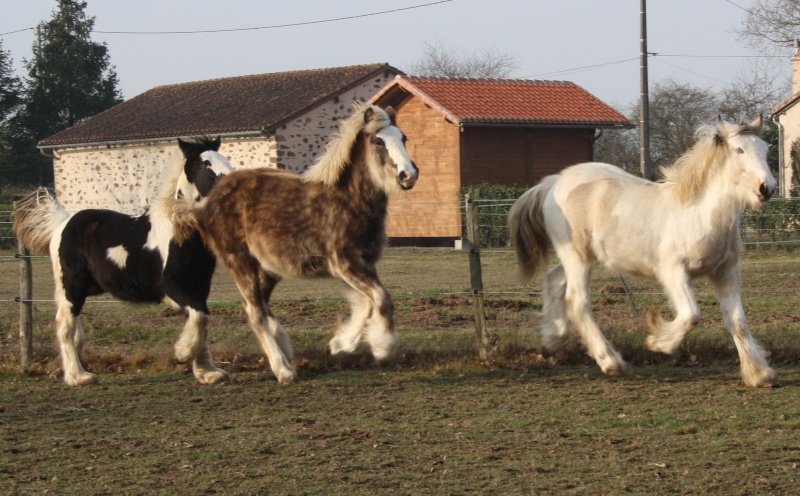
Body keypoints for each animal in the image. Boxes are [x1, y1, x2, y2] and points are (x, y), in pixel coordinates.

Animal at [14, 137, 233, 388]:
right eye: (205, 163)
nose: (233, 184)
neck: (180, 232)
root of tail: (62, 224)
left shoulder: (198, 287)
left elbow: (201, 321)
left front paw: (208, 372)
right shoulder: (173, 288)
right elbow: (200, 317)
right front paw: (183, 354)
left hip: (83, 288)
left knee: (73, 326)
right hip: (72, 285)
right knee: (64, 324)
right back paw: (78, 376)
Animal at [173, 103, 422, 384]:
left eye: (403, 138)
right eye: (378, 141)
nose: (409, 175)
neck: (349, 201)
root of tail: (206, 204)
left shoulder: (362, 262)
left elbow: (366, 303)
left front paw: (340, 344)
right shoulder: (344, 262)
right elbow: (381, 298)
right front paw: (384, 348)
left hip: (268, 268)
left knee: (260, 306)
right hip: (239, 261)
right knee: (254, 312)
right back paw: (283, 370)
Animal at [510, 116, 780, 388]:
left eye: (765, 148)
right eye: (739, 150)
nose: (767, 188)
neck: (700, 214)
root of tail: (553, 182)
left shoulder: (725, 272)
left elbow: (737, 322)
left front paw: (760, 374)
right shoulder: (673, 272)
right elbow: (691, 315)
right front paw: (658, 341)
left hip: (578, 258)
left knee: (554, 280)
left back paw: (551, 339)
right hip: (578, 259)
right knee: (577, 301)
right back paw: (610, 362)